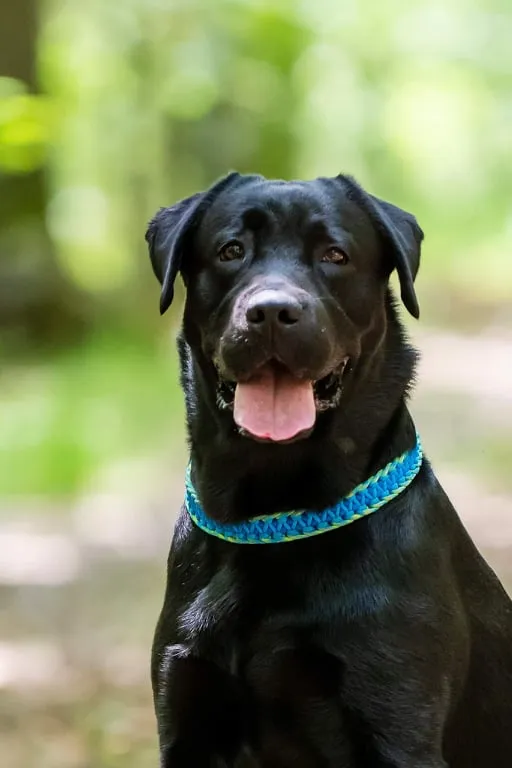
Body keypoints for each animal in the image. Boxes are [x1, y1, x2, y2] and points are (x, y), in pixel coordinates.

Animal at [144, 174, 512, 768]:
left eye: (334, 256)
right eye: (231, 250)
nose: (272, 312)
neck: (274, 515)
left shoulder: (397, 721)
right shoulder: (186, 713)